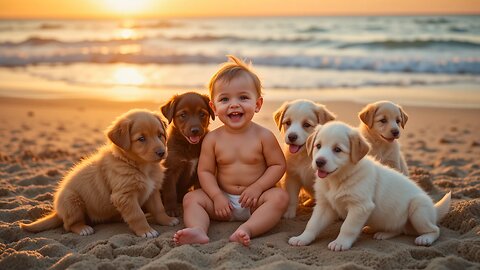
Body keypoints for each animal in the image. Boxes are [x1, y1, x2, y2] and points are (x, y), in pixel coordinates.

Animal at [19, 108, 179, 237]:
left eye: (160, 135)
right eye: (141, 139)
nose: (161, 152)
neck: (140, 166)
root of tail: (58, 212)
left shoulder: (153, 190)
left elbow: (159, 209)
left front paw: (167, 220)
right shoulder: (124, 196)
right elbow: (137, 215)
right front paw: (146, 231)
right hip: (71, 200)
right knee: (69, 225)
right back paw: (83, 228)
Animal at [288, 121, 450, 252]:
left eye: (337, 150)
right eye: (318, 146)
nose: (319, 162)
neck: (338, 179)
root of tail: (434, 210)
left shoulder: (360, 206)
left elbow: (347, 227)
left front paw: (340, 243)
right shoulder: (324, 205)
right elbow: (312, 224)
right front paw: (302, 238)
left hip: (418, 208)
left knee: (435, 229)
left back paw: (425, 238)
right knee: (398, 229)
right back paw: (382, 233)